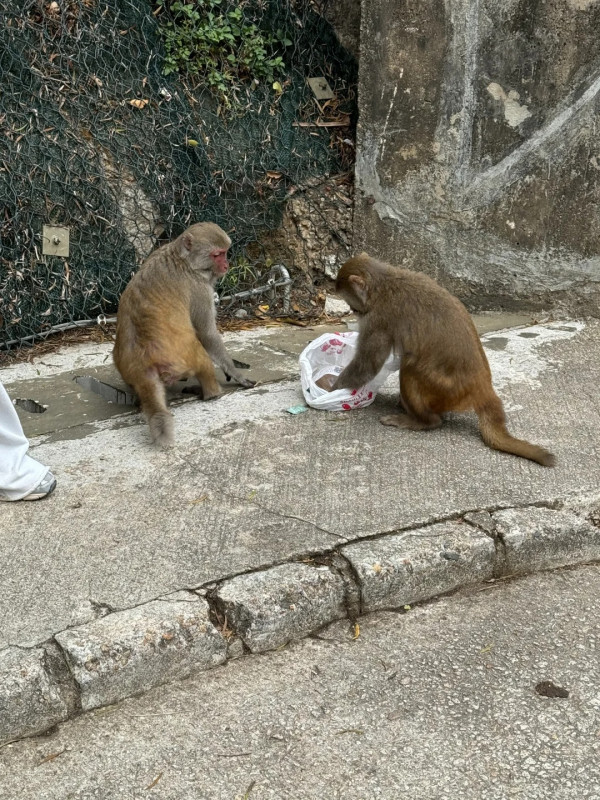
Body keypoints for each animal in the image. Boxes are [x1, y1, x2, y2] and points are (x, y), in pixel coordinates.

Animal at [113, 222, 254, 446]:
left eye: (225, 252)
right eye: (217, 254)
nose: (226, 265)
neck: (184, 260)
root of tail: (143, 366)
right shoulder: (200, 289)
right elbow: (207, 333)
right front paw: (234, 371)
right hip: (183, 361)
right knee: (202, 355)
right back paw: (209, 393)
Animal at [330, 256, 556, 466]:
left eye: (353, 305)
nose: (355, 312)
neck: (384, 283)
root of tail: (483, 387)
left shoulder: (378, 318)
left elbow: (368, 364)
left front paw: (331, 389)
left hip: (445, 389)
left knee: (410, 367)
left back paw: (425, 421)